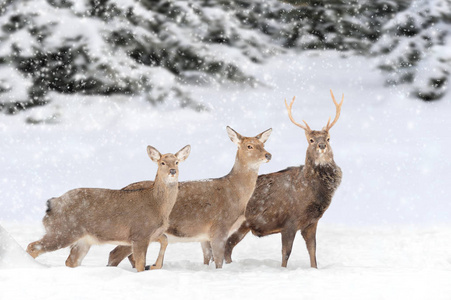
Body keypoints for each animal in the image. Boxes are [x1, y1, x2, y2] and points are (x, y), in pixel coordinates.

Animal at [27, 145, 191, 272]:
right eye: (162, 162)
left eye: (176, 162)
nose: (172, 171)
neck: (158, 206)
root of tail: (52, 204)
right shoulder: (140, 233)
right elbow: (140, 264)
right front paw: (148, 267)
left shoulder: (152, 234)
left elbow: (165, 240)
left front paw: (155, 266)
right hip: (63, 231)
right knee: (33, 246)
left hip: (82, 239)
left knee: (70, 261)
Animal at [107, 126, 274, 270]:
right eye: (249, 146)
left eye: (263, 144)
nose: (268, 155)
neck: (236, 194)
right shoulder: (220, 226)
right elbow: (218, 261)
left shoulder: (204, 235)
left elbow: (207, 259)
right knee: (114, 254)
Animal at [222, 90, 342, 268]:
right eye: (311, 140)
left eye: (328, 138)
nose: (322, 146)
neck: (311, 190)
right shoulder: (289, 221)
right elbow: (286, 253)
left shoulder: (311, 223)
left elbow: (313, 251)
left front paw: (314, 269)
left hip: (243, 226)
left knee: (228, 246)